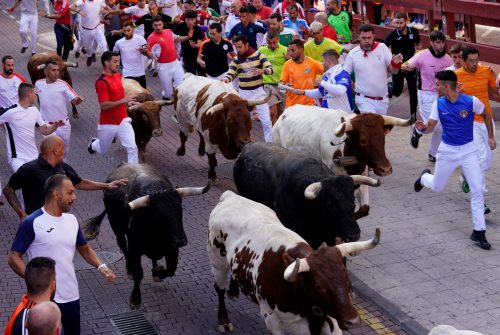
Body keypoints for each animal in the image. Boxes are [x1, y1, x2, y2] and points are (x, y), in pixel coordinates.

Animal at [84, 165, 209, 310]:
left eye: (180, 209)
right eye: (158, 214)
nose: (181, 240)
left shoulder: (172, 249)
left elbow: (171, 270)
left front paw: (158, 272)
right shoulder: (135, 248)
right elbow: (139, 273)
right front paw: (135, 298)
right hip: (117, 228)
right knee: (123, 247)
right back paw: (129, 270)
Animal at [207, 192, 378, 335]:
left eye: (346, 279)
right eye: (319, 287)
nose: (353, 321)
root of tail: (231, 196)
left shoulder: (332, 324)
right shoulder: (273, 321)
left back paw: (233, 291)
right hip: (217, 261)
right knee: (219, 288)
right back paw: (224, 320)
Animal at [274, 106, 414, 219]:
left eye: (382, 137)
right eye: (362, 140)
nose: (385, 169)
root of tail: (284, 113)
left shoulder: (362, 176)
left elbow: (364, 209)